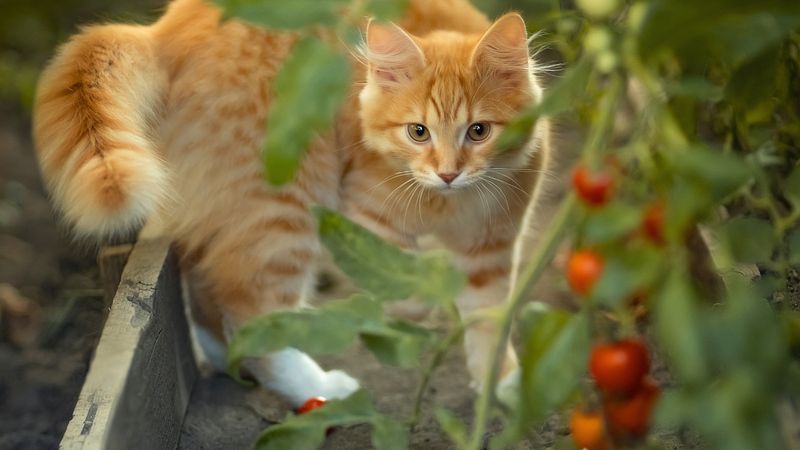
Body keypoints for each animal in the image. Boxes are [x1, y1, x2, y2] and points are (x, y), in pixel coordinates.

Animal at [32, 0, 552, 408]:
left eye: (479, 131)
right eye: (417, 132)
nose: (448, 172)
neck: (447, 204)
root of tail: (164, 30)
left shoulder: (491, 252)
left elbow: (490, 322)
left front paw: (501, 384)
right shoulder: (363, 218)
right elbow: (404, 289)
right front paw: (414, 305)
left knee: (205, 276)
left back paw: (226, 357)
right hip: (285, 203)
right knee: (249, 307)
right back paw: (318, 387)